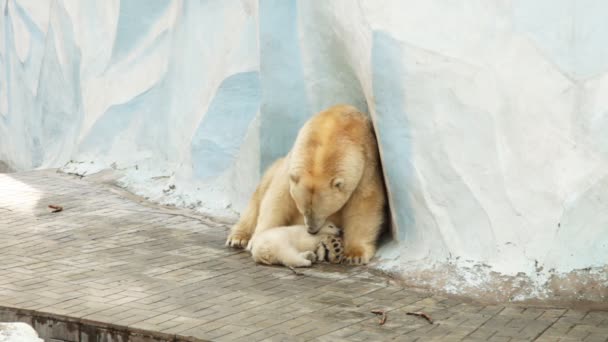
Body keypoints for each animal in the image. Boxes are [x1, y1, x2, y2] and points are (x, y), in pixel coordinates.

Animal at [226, 104, 388, 264]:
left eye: (324, 212)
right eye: (303, 210)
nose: (311, 230)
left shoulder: (367, 166)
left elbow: (364, 203)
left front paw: (355, 255)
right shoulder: (291, 166)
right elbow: (277, 199)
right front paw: (257, 240)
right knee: (259, 195)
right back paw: (238, 237)